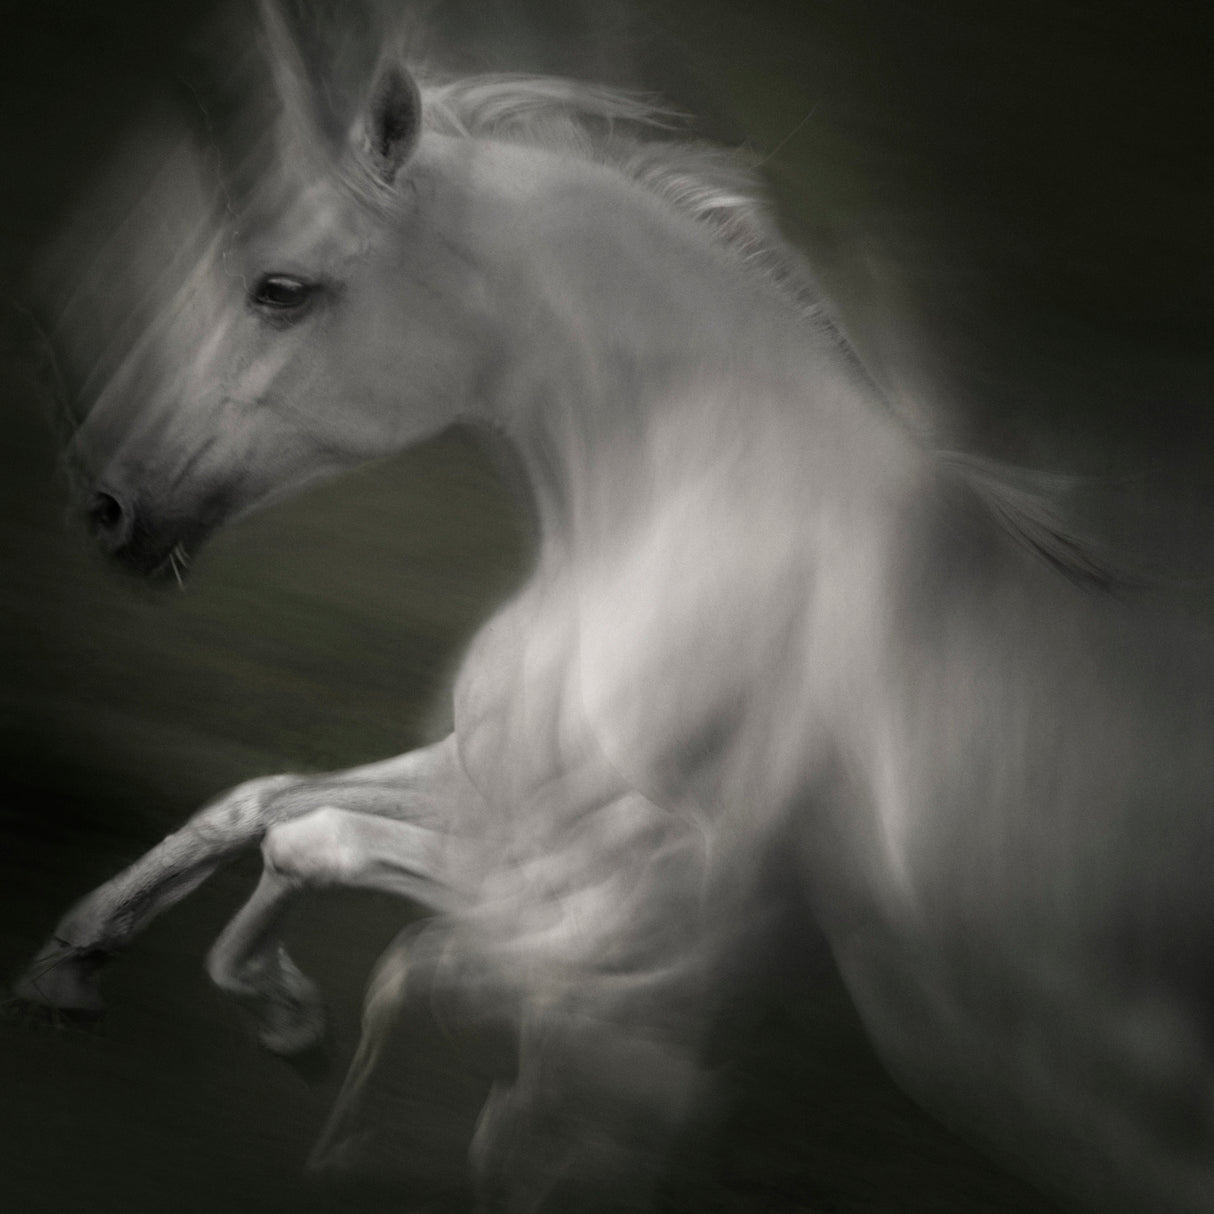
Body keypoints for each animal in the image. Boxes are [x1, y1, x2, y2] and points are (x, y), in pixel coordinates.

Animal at [14, 6, 1214, 1211]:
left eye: (279, 288)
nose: (106, 508)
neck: (687, 531)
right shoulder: (502, 788)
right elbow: (267, 808)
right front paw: (114, 972)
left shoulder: (651, 916)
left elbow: (356, 888)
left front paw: (312, 1063)